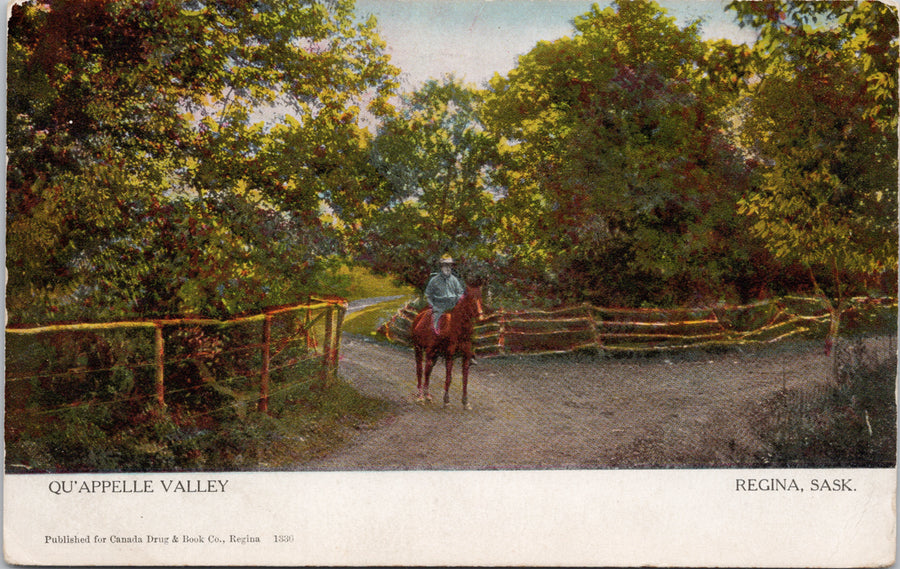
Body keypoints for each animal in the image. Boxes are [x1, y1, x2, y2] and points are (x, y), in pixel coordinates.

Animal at [414, 280, 486, 408]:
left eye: (480, 299)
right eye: (472, 300)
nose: (481, 318)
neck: (458, 330)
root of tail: (420, 316)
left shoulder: (466, 356)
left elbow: (465, 379)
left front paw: (465, 401)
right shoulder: (449, 356)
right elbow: (448, 377)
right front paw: (446, 400)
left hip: (433, 354)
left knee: (428, 371)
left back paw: (427, 395)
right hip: (419, 349)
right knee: (420, 370)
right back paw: (420, 396)